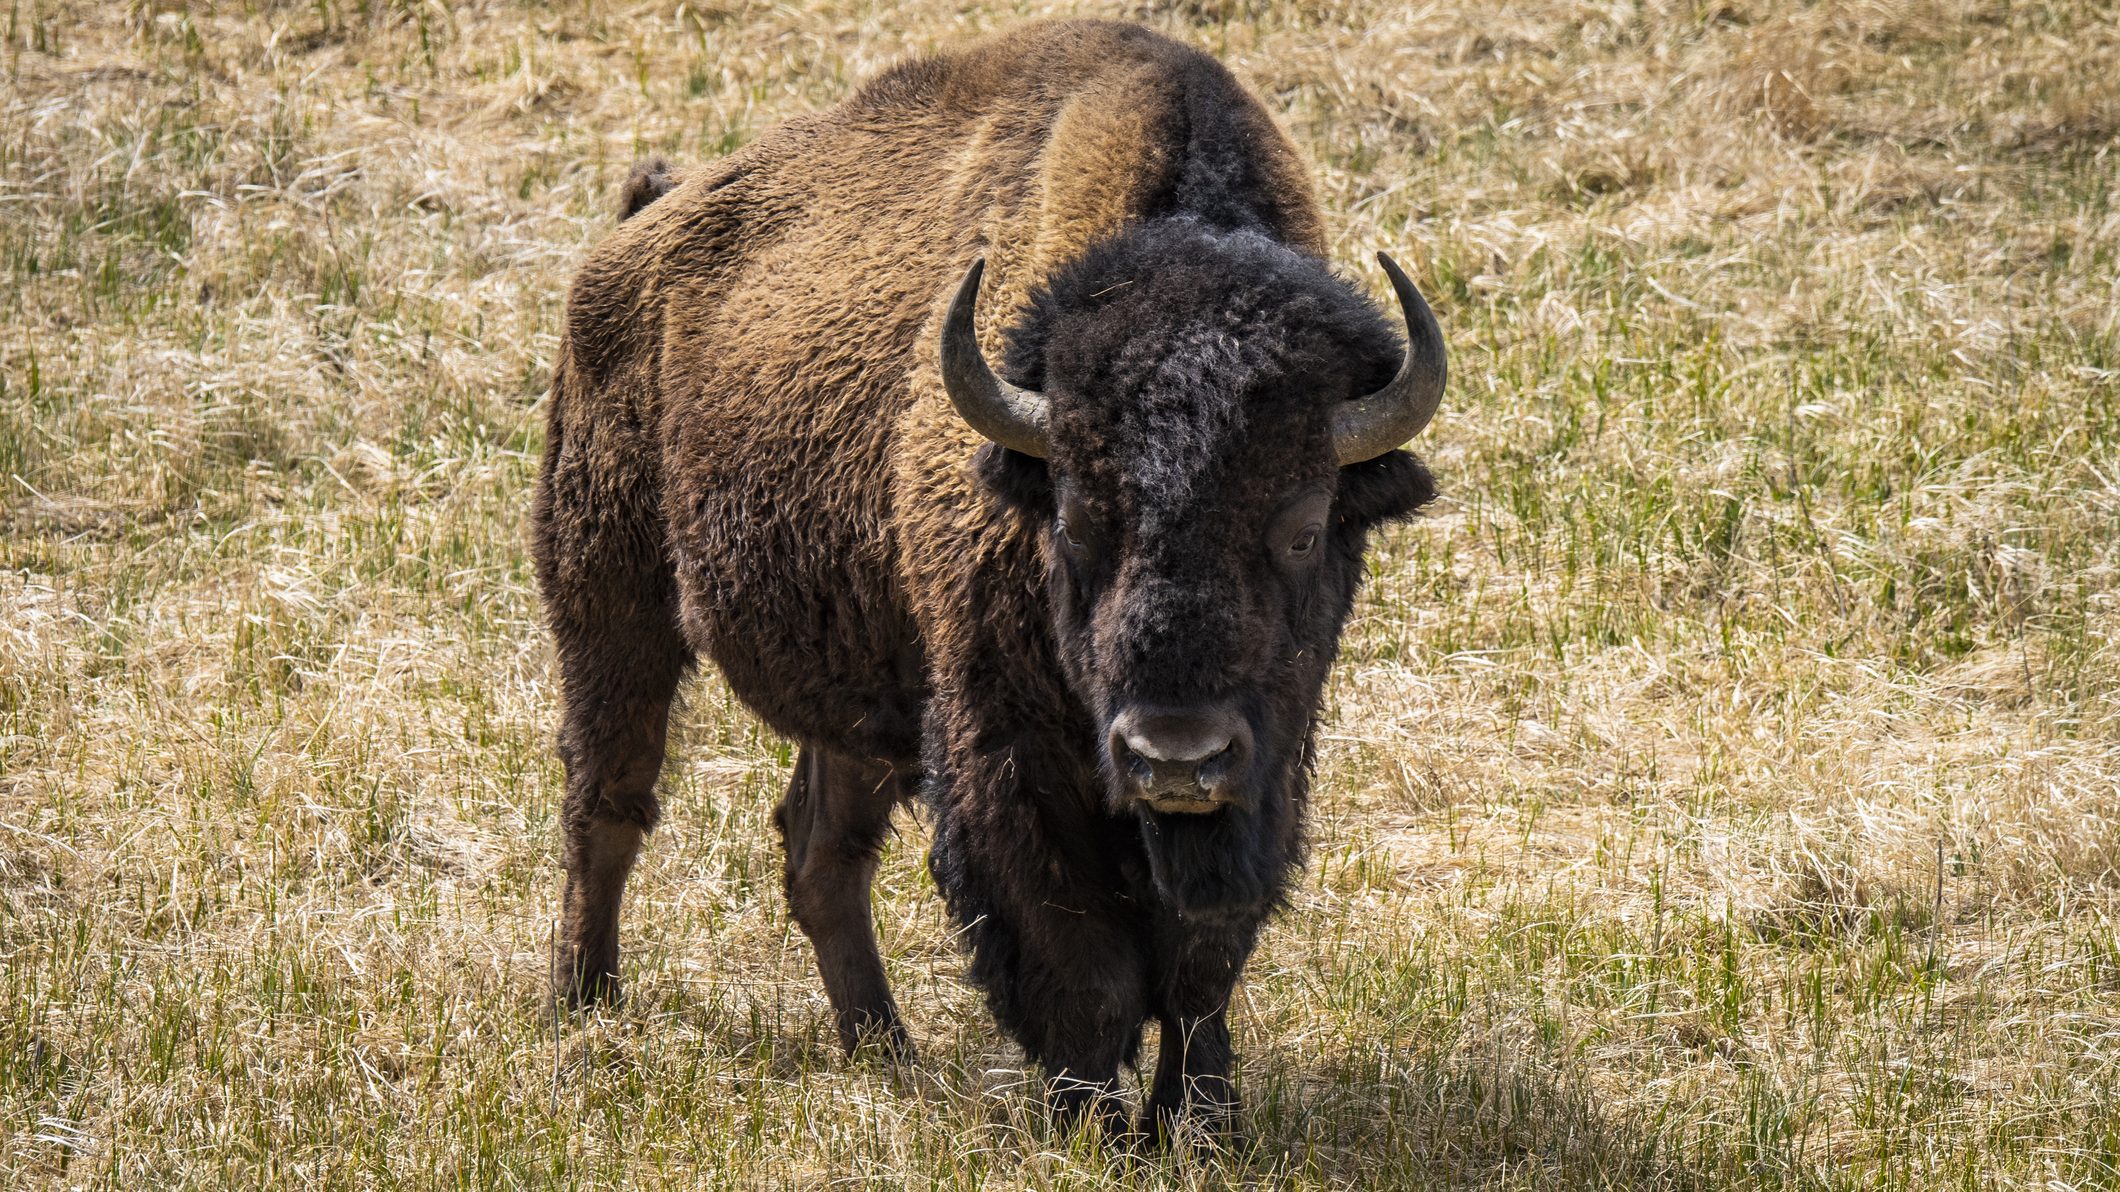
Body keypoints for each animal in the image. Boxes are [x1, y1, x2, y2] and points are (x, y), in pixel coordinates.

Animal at [538, 18, 1450, 1128]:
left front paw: (1198, 1121)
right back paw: (583, 1007)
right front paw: (1089, 1124)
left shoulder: (1269, 753)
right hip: (609, 594)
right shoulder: (1005, 745)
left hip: (865, 688)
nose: (1174, 756)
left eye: (1305, 524)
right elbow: (1080, 956)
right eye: (1076, 514)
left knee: (819, 851)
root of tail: (630, 238)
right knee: (608, 800)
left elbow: (1201, 957)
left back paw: (884, 1049)